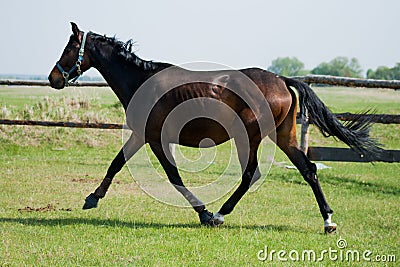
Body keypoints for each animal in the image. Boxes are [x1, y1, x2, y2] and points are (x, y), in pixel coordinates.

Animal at [48, 23, 380, 233]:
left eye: (68, 47)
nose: (54, 78)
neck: (142, 81)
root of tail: (282, 80)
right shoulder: (143, 136)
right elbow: (118, 163)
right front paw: (93, 198)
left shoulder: (153, 139)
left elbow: (172, 177)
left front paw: (205, 213)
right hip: (285, 136)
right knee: (308, 169)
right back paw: (328, 221)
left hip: (250, 137)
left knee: (251, 174)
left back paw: (221, 214)